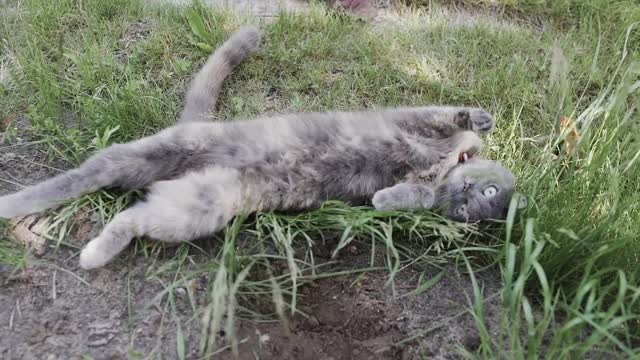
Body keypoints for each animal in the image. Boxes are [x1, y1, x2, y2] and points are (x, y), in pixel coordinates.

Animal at [0, 26, 524, 268]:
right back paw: (16, 205)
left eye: (474, 212)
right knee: (85, 175)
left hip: (197, 206)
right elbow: (446, 117)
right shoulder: (417, 121)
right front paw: (477, 118)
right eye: (488, 194)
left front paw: (390, 196)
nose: (469, 197)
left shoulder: (421, 189)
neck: (447, 165)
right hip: (150, 155)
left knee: (132, 215)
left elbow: (404, 196)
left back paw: (93, 251)